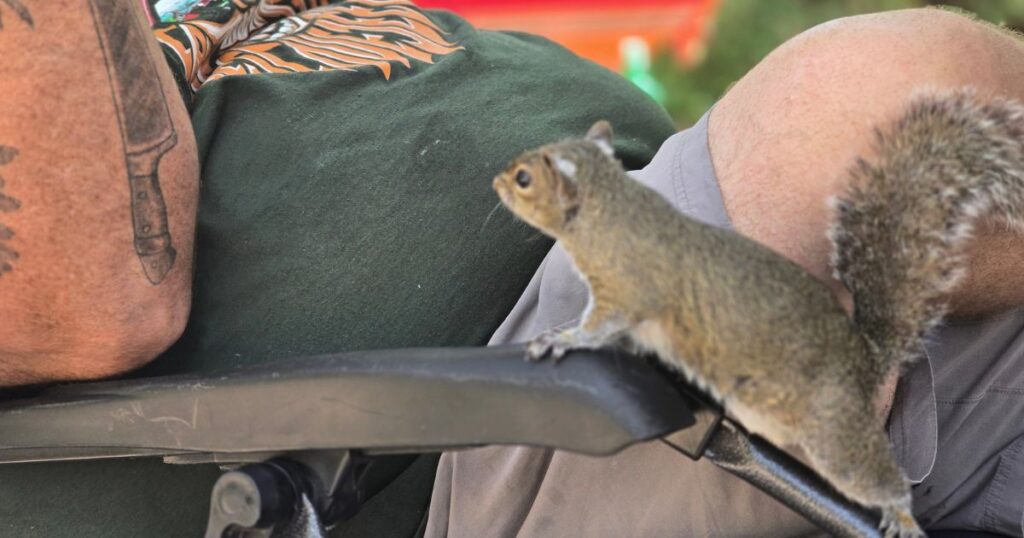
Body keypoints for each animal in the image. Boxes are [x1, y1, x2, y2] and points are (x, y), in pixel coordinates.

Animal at [491, 89, 1024, 538]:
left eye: (525, 179)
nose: (496, 180)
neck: (609, 209)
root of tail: (865, 360)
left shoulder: (629, 288)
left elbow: (602, 326)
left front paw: (563, 340)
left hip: (831, 431)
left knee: (875, 478)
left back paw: (901, 516)